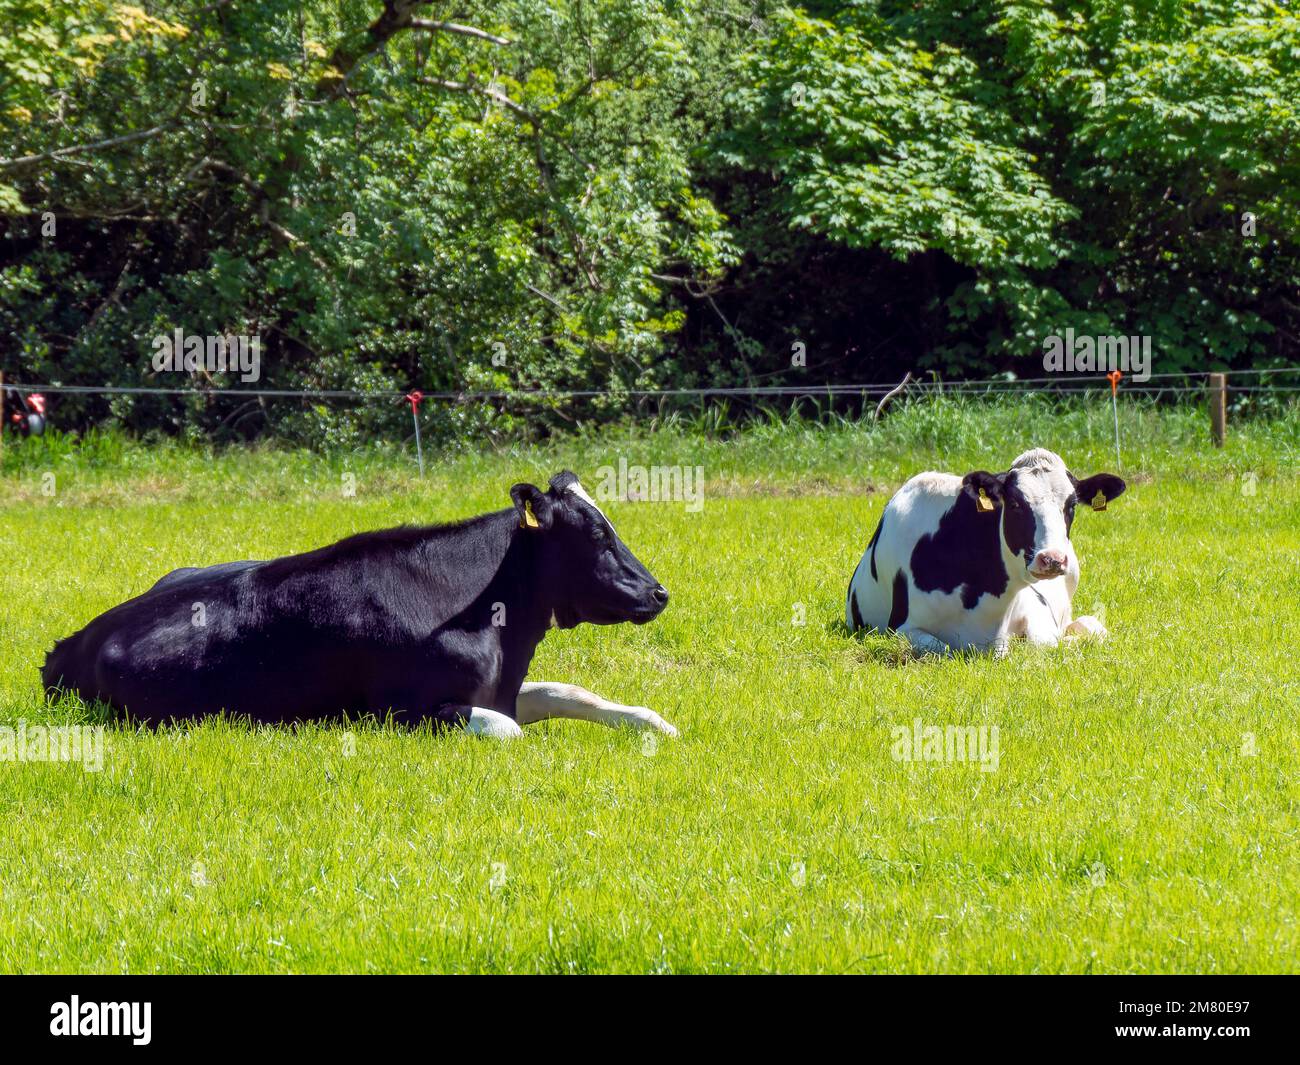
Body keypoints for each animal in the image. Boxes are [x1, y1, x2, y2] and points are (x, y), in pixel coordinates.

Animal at [44, 475, 676, 743]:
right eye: (595, 535)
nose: (658, 593)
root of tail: (74, 641)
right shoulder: (400, 709)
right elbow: (506, 729)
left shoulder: (502, 686)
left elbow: (574, 693)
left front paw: (660, 725)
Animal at [847, 447, 1123, 652]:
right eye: (1015, 504)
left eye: (1072, 505)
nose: (1053, 559)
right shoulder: (900, 628)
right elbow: (940, 648)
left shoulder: (1036, 609)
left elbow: (1042, 644)